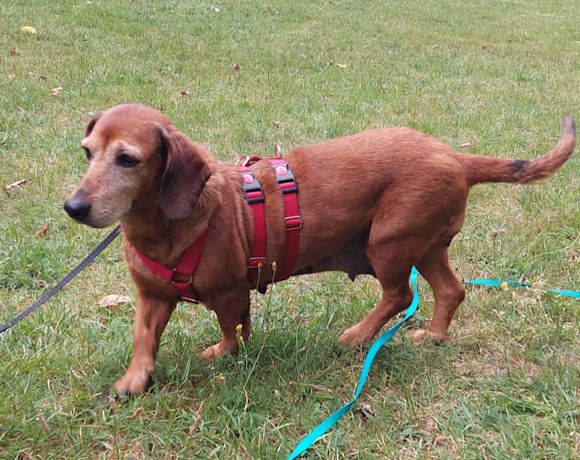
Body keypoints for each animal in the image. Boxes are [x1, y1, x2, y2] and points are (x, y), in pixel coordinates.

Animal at [64, 105, 576, 396]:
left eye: (127, 159)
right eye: (87, 152)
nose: (73, 207)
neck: (168, 225)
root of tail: (455, 156)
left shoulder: (231, 294)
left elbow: (233, 333)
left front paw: (222, 355)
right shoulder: (151, 298)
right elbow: (143, 340)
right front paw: (134, 381)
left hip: (388, 244)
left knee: (399, 296)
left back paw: (357, 337)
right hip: (424, 247)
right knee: (451, 290)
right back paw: (432, 336)